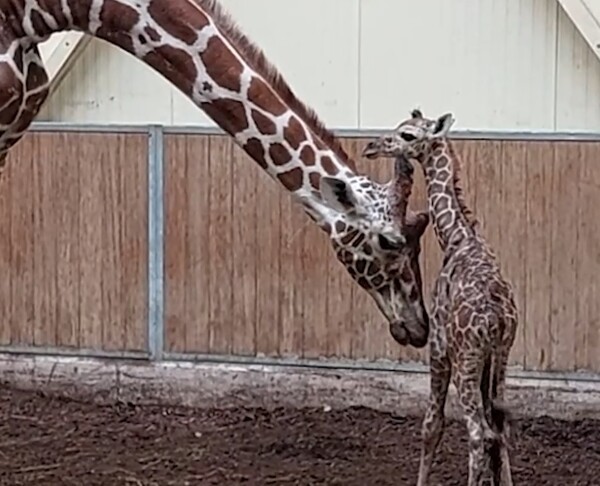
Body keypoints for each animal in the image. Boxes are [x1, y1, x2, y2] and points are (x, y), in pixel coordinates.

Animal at [364, 110, 516, 486]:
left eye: (407, 134)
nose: (372, 145)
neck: (457, 237)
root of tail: (498, 318)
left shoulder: (438, 346)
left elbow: (432, 423)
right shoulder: (488, 358)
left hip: (466, 360)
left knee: (478, 432)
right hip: (500, 357)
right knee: (499, 428)